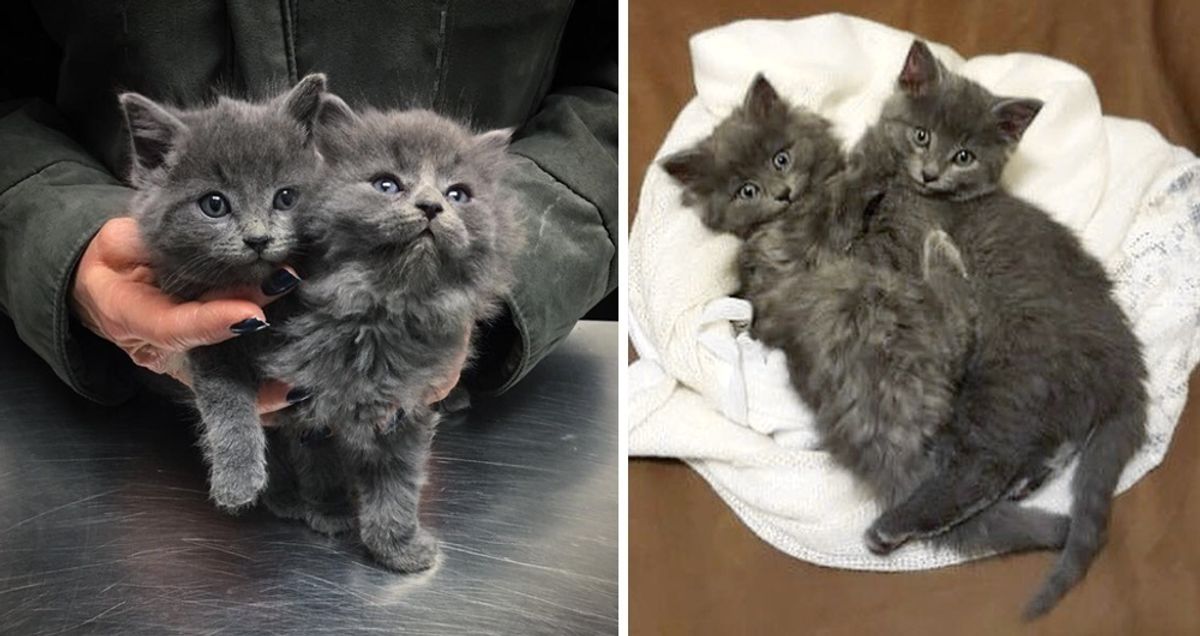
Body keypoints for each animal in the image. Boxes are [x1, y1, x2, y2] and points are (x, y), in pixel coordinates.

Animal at [117, 74, 328, 508]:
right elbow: (225, 397)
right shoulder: (212, 340)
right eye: (214, 204)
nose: (258, 238)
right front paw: (239, 477)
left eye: (286, 197)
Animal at [262, 97, 520, 568]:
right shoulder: (307, 406)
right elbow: (319, 468)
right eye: (386, 185)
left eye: (458, 194)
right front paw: (330, 513)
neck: (381, 314)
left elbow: (396, 486)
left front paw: (397, 547)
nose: (431, 206)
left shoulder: (407, 410)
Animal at [667, 75, 1070, 559]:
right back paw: (941, 252)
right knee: (959, 330)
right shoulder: (814, 240)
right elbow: (845, 199)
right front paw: (874, 159)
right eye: (747, 191)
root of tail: (879, 438)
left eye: (781, 158)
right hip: (882, 297)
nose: (781, 192)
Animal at [859, 40, 1147, 619]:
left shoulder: (909, 239)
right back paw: (1034, 475)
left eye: (964, 156)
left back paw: (894, 526)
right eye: (922, 135)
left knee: (984, 465)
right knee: (1049, 442)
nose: (930, 172)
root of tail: (1126, 362)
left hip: (1008, 369)